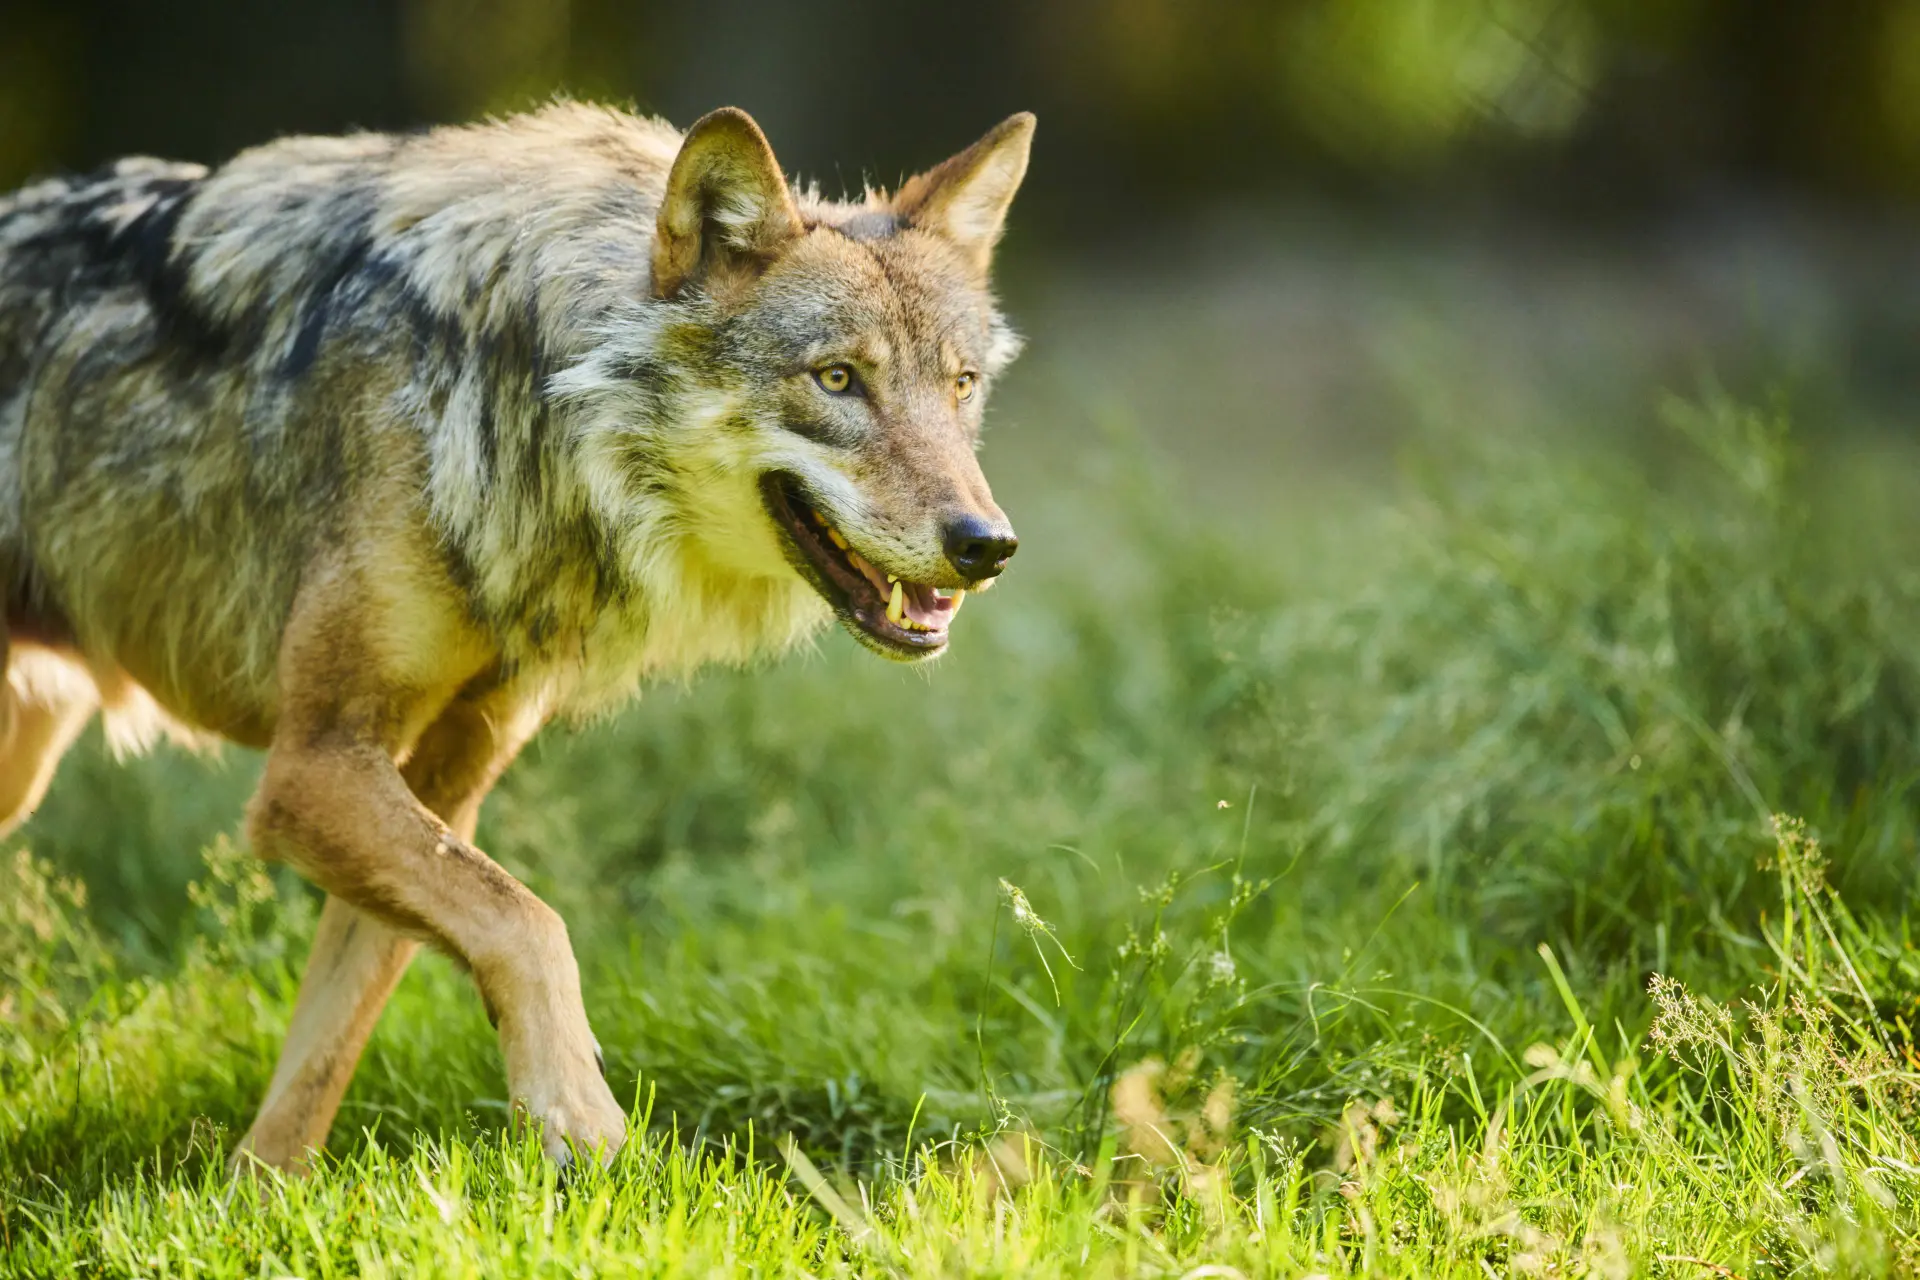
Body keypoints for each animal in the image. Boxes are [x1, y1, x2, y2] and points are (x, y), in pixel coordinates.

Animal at [0, 102, 1032, 1170]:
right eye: (837, 380)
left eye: (960, 386)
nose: (987, 545)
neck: (536, 407)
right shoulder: (313, 765)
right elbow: (529, 923)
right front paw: (584, 1123)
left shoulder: (442, 782)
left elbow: (328, 1045)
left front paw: (257, 1189)